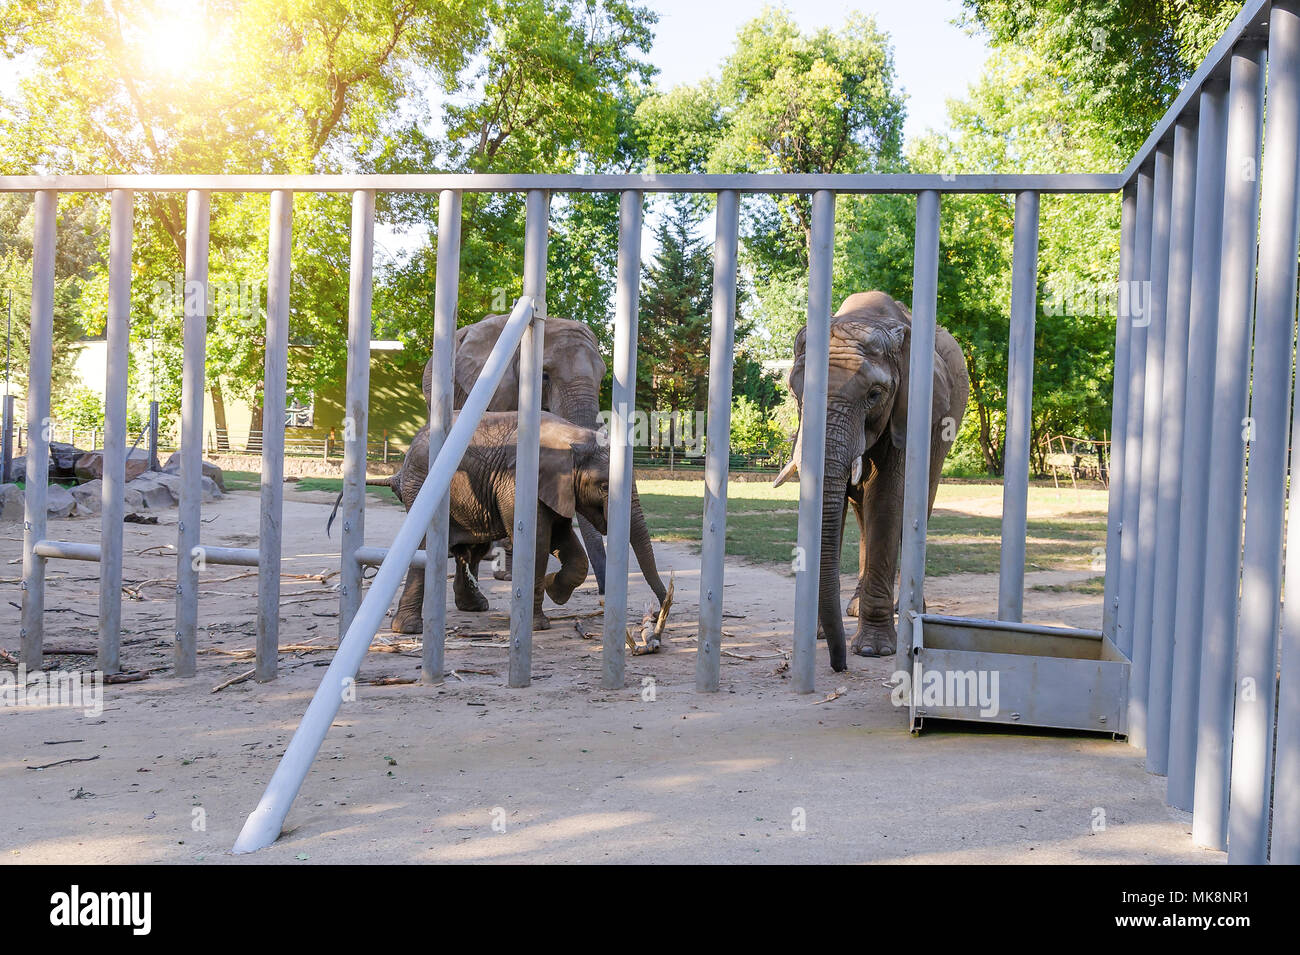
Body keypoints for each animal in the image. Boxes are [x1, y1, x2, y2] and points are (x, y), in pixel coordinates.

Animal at [388, 410, 668, 634]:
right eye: (604, 486)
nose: (657, 614)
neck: (573, 437)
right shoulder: (517, 483)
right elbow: (538, 544)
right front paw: (539, 625)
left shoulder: (556, 489)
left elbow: (566, 544)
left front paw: (554, 589)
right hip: (421, 484)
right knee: (426, 548)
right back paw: (409, 629)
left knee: (471, 550)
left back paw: (475, 607)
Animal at [775, 291, 969, 670]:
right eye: (794, 393)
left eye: (875, 394)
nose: (838, 666)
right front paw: (817, 634)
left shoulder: (908, 412)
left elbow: (887, 499)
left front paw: (872, 650)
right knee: (862, 513)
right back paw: (853, 606)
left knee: (915, 508)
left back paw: (907, 609)